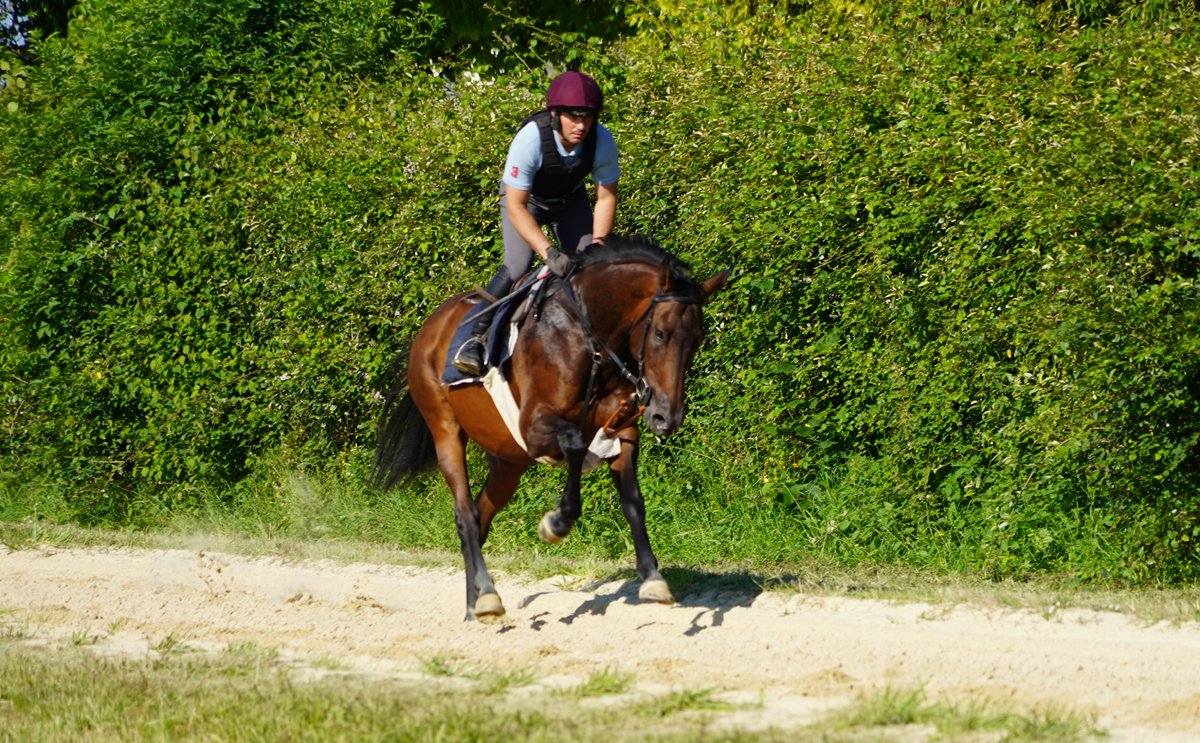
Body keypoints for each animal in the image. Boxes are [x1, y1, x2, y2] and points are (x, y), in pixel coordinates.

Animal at [373, 235, 728, 620]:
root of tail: (430, 327)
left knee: (481, 514)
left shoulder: (622, 430)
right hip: (446, 429)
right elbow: (574, 444)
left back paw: (475, 601)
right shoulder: (535, 428)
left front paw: (652, 577)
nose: (667, 417)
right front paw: (556, 523)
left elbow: (633, 500)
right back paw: (486, 595)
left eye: (697, 339)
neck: (589, 336)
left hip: (508, 462)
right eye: (660, 334)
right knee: (465, 512)